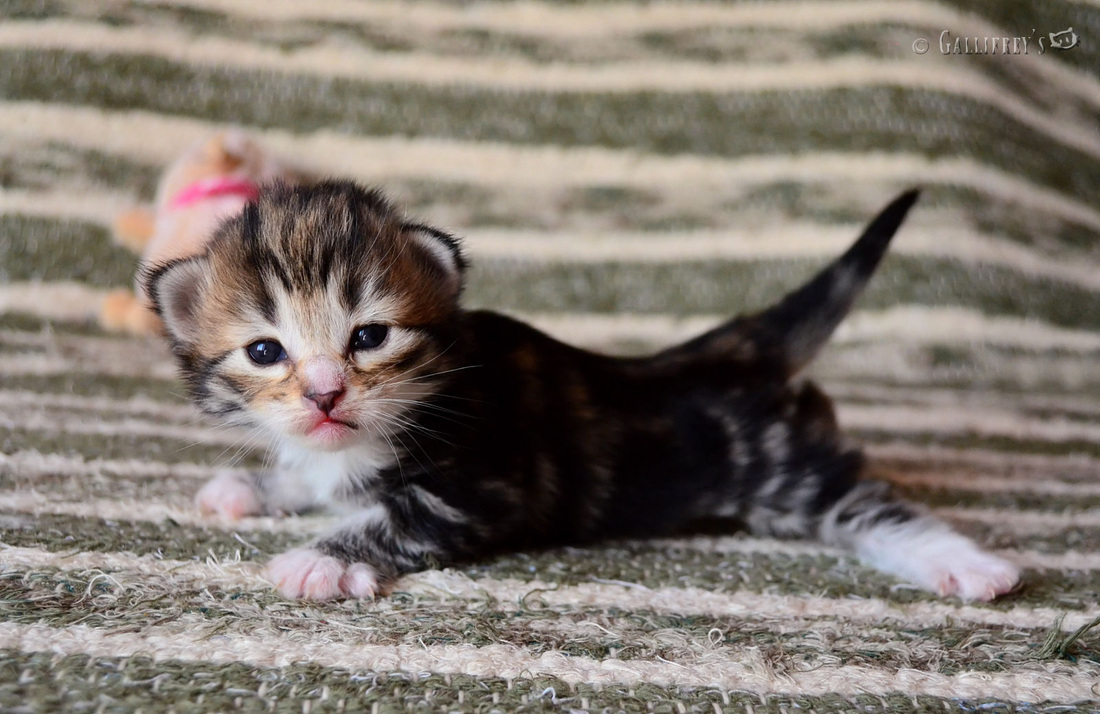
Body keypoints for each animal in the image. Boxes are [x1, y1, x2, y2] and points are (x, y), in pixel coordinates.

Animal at [145, 181, 1020, 602]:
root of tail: (734, 343)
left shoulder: (486, 484)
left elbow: (392, 517)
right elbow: (316, 475)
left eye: (369, 337)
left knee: (872, 508)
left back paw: (968, 566)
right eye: (266, 351)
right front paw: (253, 487)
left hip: (787, 474)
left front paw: (320, 560)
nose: (325, 395)